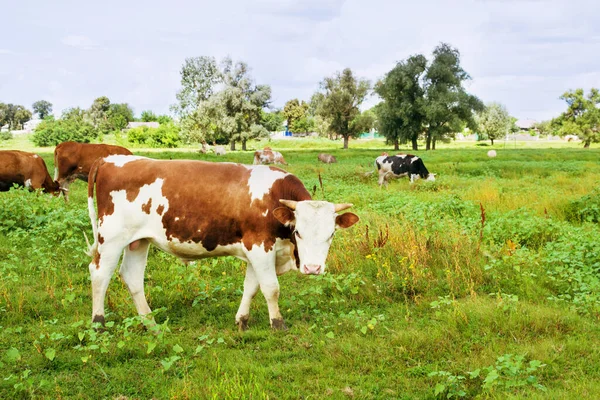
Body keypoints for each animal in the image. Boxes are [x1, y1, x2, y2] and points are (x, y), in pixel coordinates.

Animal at [86, 155, 358, 330]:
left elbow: (251, 287)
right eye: (298, 232)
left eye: (331, 234)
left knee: (131, 276)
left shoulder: (257, 252)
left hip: (138, 240)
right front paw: (278, 324)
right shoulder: (260, 246)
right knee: (100, 273)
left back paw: (149, 321)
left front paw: (242, 321)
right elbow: (271, 288)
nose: (313, 268)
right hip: (111, 238)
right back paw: (99, 323)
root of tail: (110, 158)